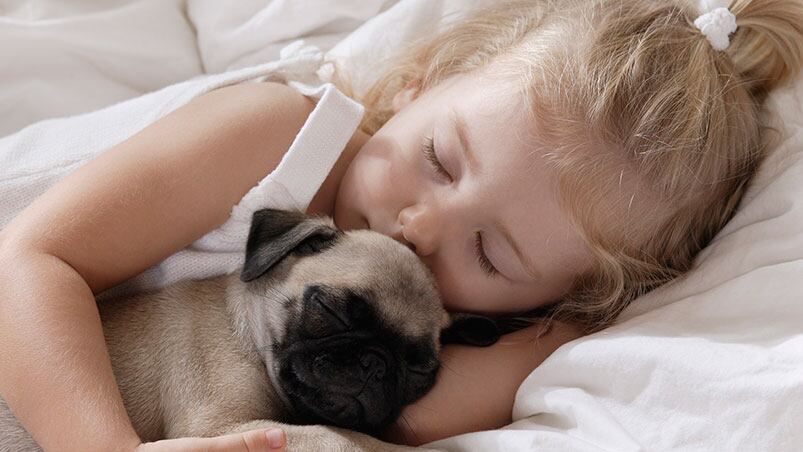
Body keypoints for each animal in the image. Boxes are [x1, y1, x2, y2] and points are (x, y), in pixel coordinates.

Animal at [0, 210, 500, 450]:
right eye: (329, 309)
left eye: (420, 374)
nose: (374, 365)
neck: (247, 336)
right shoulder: (216, 432)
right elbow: (342, 439)